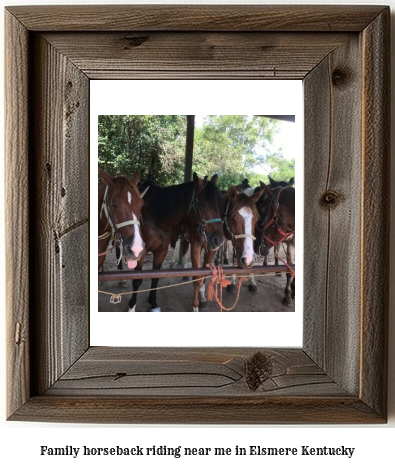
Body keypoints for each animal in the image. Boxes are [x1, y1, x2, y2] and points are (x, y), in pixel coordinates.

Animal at [127, 173, 224, 312]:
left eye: (220, 205)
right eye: (204, 205)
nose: (219, 240)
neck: (156, 212)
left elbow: (203, 273)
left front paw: (202, 298)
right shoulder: (142, 251)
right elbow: (137, 280)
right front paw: (132, 306)